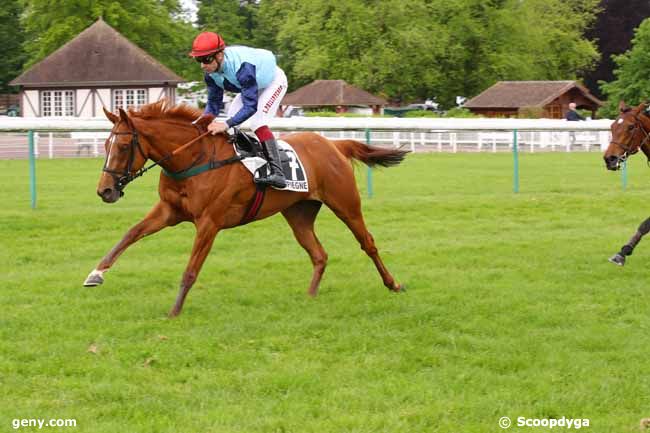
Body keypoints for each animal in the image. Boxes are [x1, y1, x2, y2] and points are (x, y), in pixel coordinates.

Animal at [84, 101, 408, 318]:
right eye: (106, 145)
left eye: (123, 147)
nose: (105, 191)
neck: (192, 158)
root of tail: (334, 145)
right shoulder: (168, 211)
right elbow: (130, 234)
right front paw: (96, 274)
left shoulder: (209, 222)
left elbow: (190, 270)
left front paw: (174, 312)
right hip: (298, 213)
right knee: (319, 254)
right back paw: (310, 296)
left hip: (345, 204)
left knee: (367, 243)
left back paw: (393, 284)